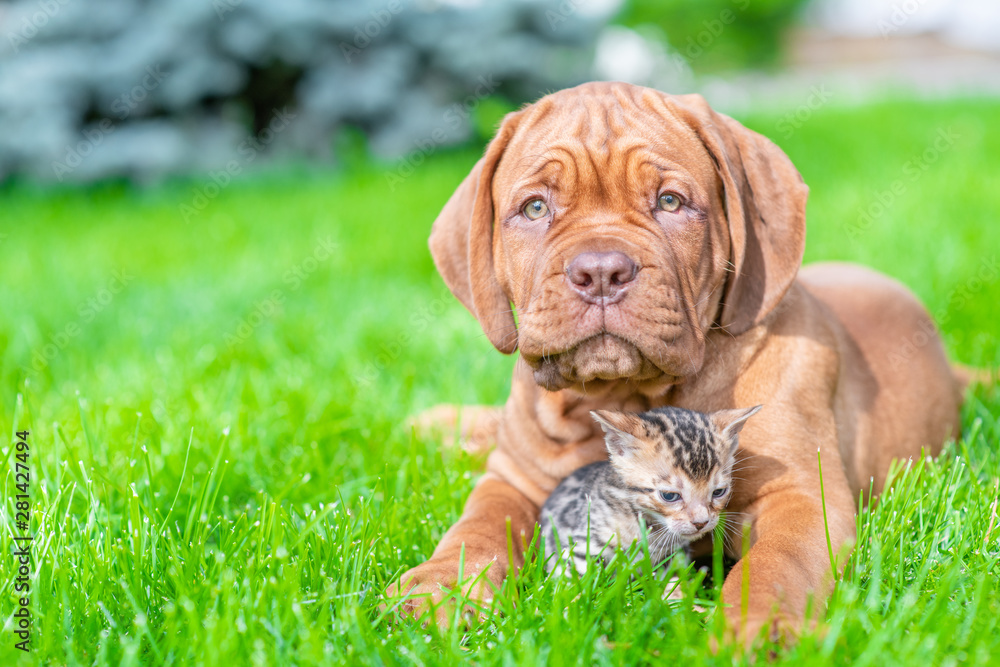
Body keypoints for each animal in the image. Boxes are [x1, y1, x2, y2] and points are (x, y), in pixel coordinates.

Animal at [544, 404, 760, 576]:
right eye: (669, 496)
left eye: (718, 492)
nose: (701, 523)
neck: (648, 525)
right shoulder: (586, 544)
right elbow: (576, 582)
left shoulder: (674, 555)